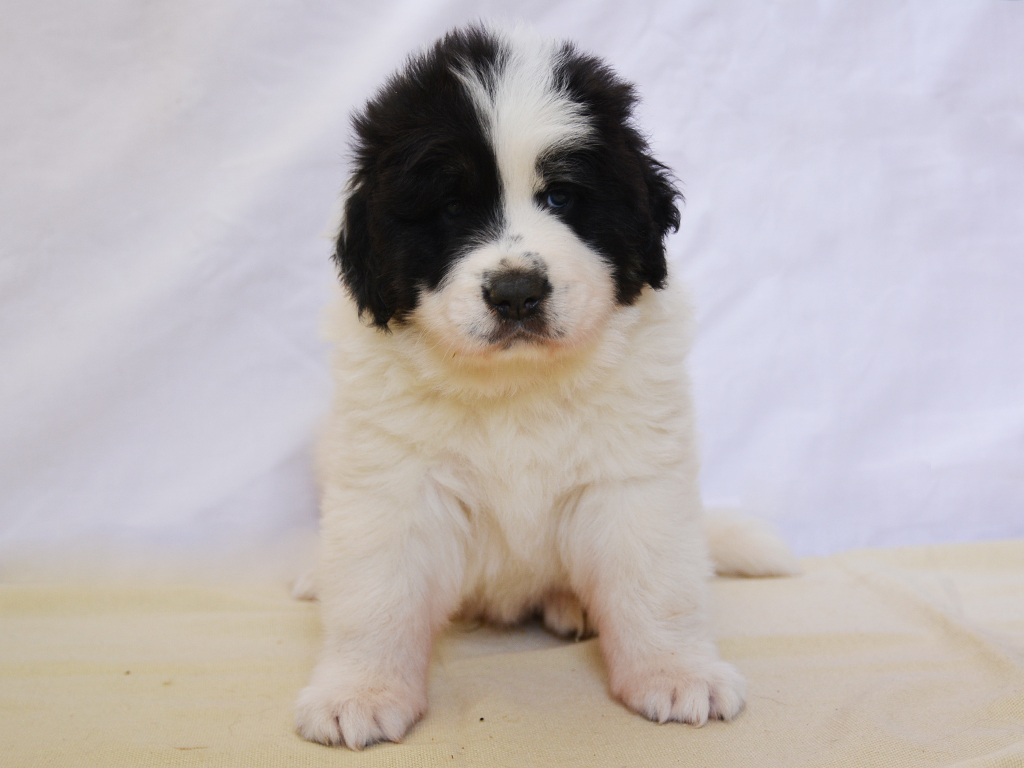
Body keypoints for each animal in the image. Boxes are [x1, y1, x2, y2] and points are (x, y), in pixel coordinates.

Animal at [296, 25, 798, 753]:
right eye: (450, 207)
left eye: (561, 196)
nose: (515, 293)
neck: (515, 385)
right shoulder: (394, 481)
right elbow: (375, 593)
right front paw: (356, 693)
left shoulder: (633, 476)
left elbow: (656, 582)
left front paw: (678, 675)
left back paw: (573, 605)